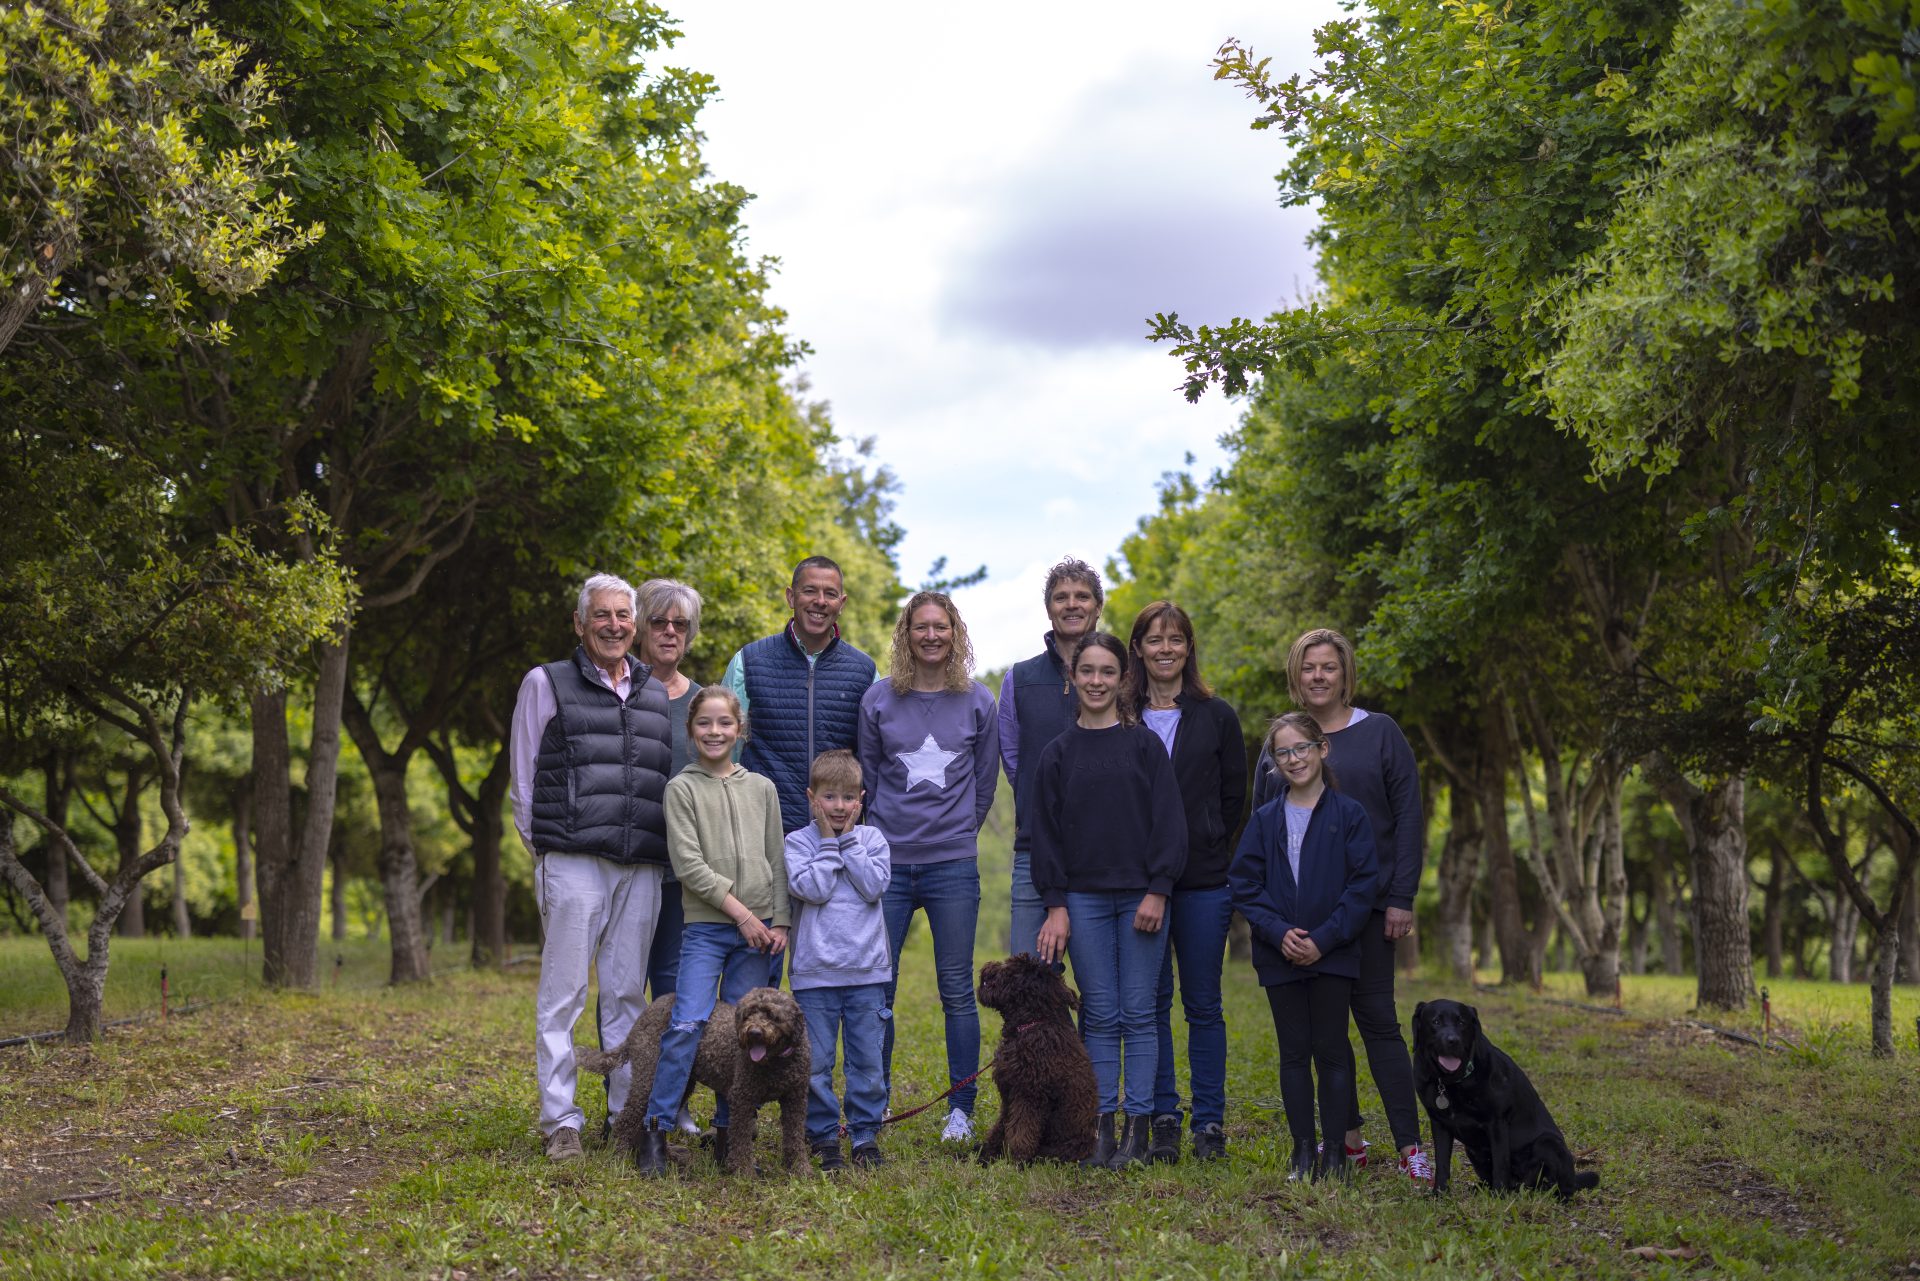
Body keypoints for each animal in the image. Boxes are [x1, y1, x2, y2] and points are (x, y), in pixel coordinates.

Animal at [975, 956, 1098, 1167]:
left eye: (1010, 970)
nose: (987, 966)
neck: (1030, 1025)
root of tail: (1088, 1146)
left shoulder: (1029, 1096)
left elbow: (1021, 1132)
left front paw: (1015, 1161)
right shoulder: (1009, 1095)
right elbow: (1001, 1127)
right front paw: (986, 1154)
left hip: (1057, 1148)